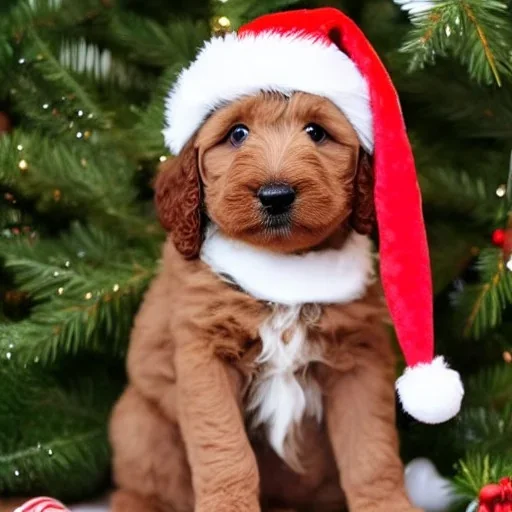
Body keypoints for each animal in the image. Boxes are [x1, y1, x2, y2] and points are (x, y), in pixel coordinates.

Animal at [108, 92, 420, 512]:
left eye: (316, 132)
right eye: (237, 134)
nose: (276, 196)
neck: (283, 272)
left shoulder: (359, 360)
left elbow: (371, 450)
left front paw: (387, 505)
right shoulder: (205, 357)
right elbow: (225, 451)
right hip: (141, 424)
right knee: (137, 488)